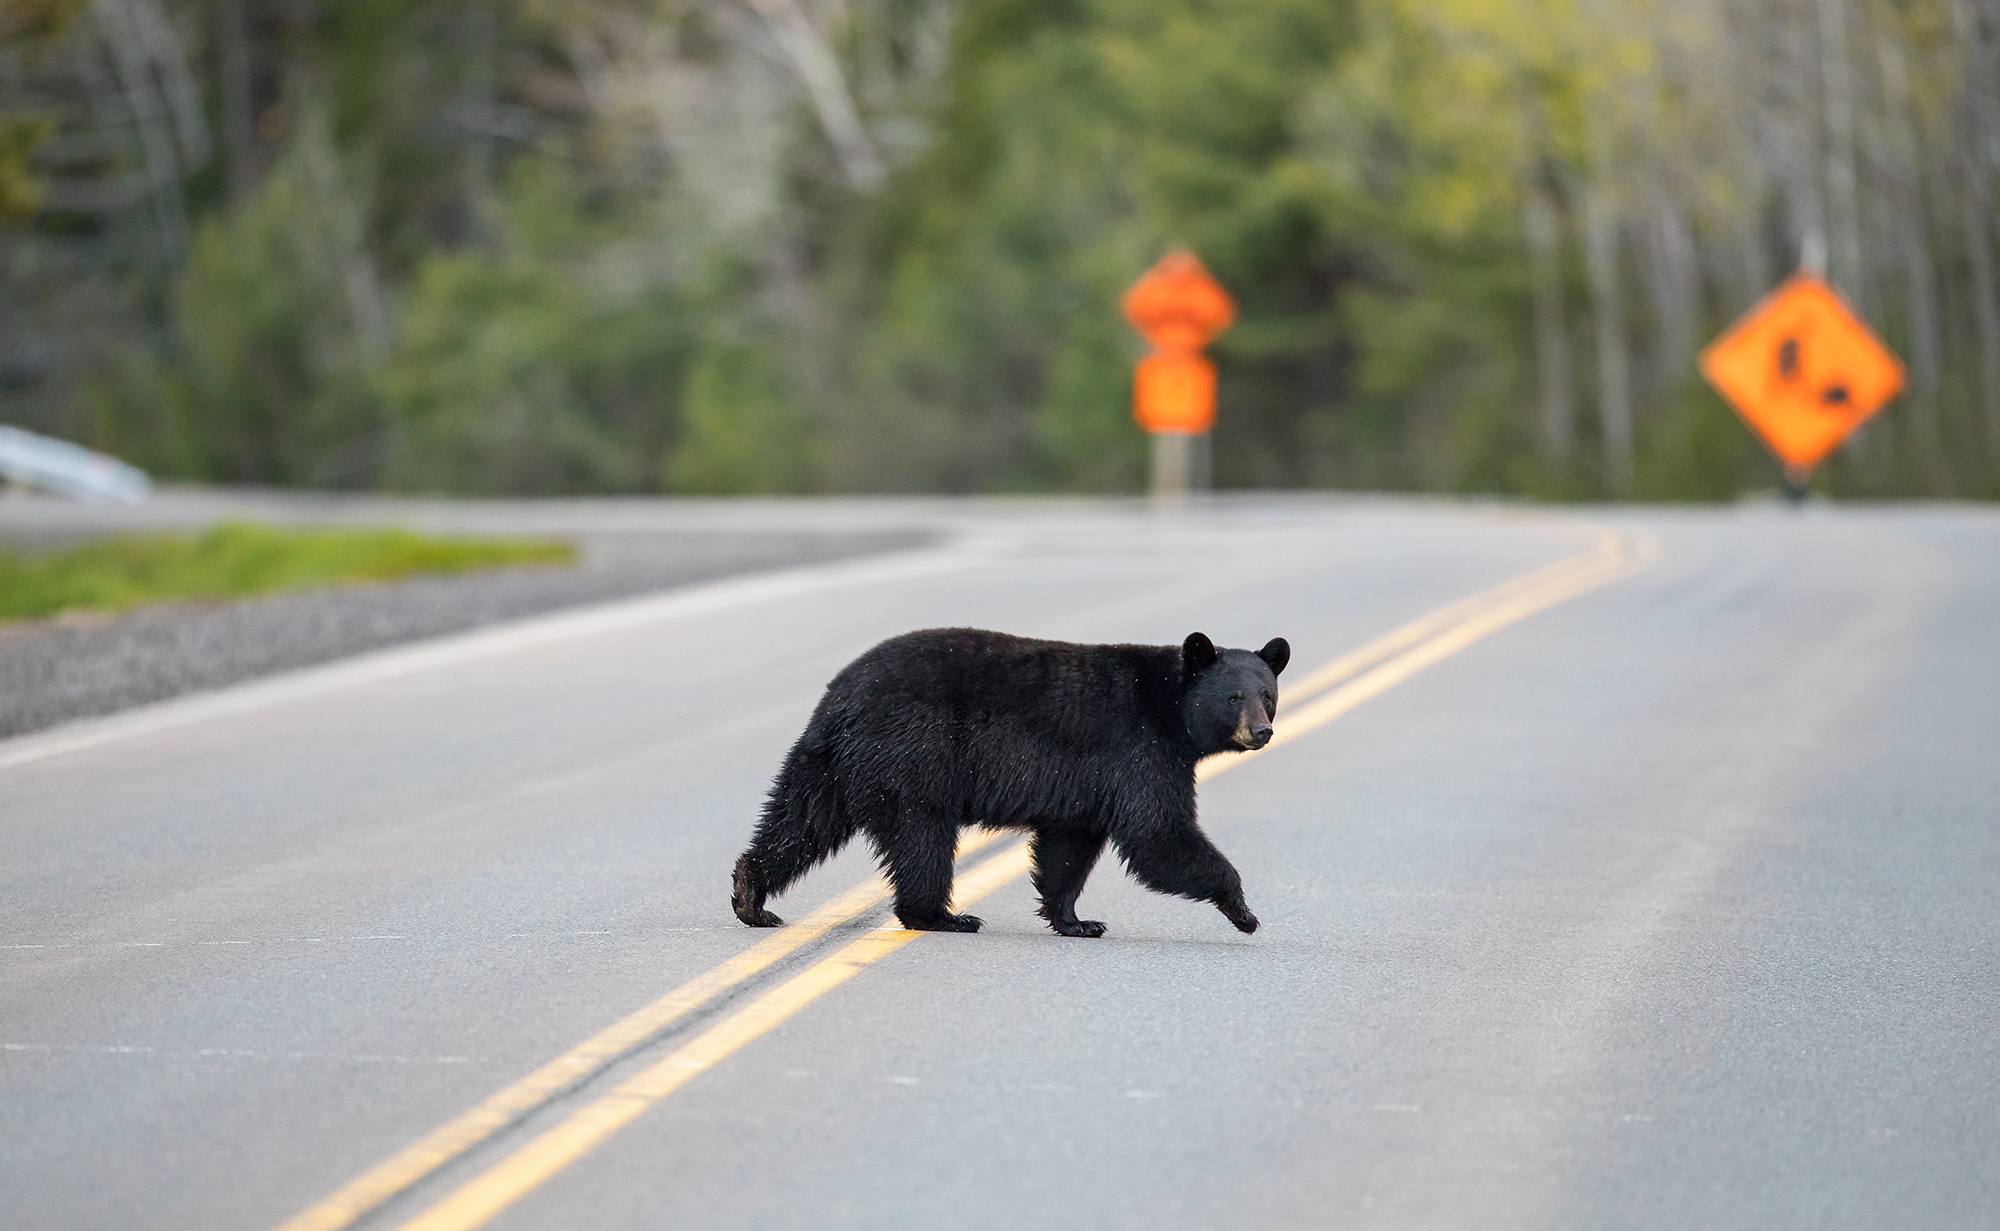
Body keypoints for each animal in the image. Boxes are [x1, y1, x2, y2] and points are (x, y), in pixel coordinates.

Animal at [728, 631, 1288, 939]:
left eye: (1268, 695)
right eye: (1234, 696)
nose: (1261, 731)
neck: (1168, 705)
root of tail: (840, 698)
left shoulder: (1089, 782)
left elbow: (1069, 845)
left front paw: (1076, 921)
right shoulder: (1139, 748)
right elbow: (1157, 834)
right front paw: (1244, 912)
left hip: (830, 763)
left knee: (800, 819)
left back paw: (751, 897)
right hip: (916, 754)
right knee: (922, 837)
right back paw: (943, 916)